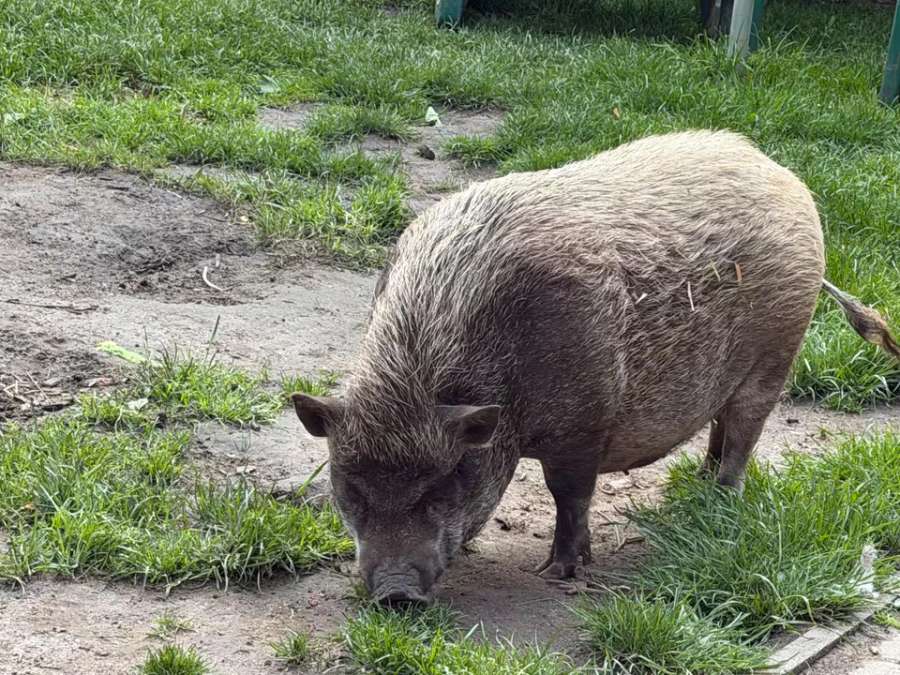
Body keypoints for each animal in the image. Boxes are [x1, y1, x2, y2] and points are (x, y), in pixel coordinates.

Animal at [292, 130, 899, 604]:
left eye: (442, 487)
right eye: (349, 490)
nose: (395, 593)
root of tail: (787, 178)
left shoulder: (586, 421)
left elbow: (569, 493)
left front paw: (558, 573)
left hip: (777, 353)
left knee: (745, 436)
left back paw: (719, 502)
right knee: (720, 425)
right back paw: (696, 488)